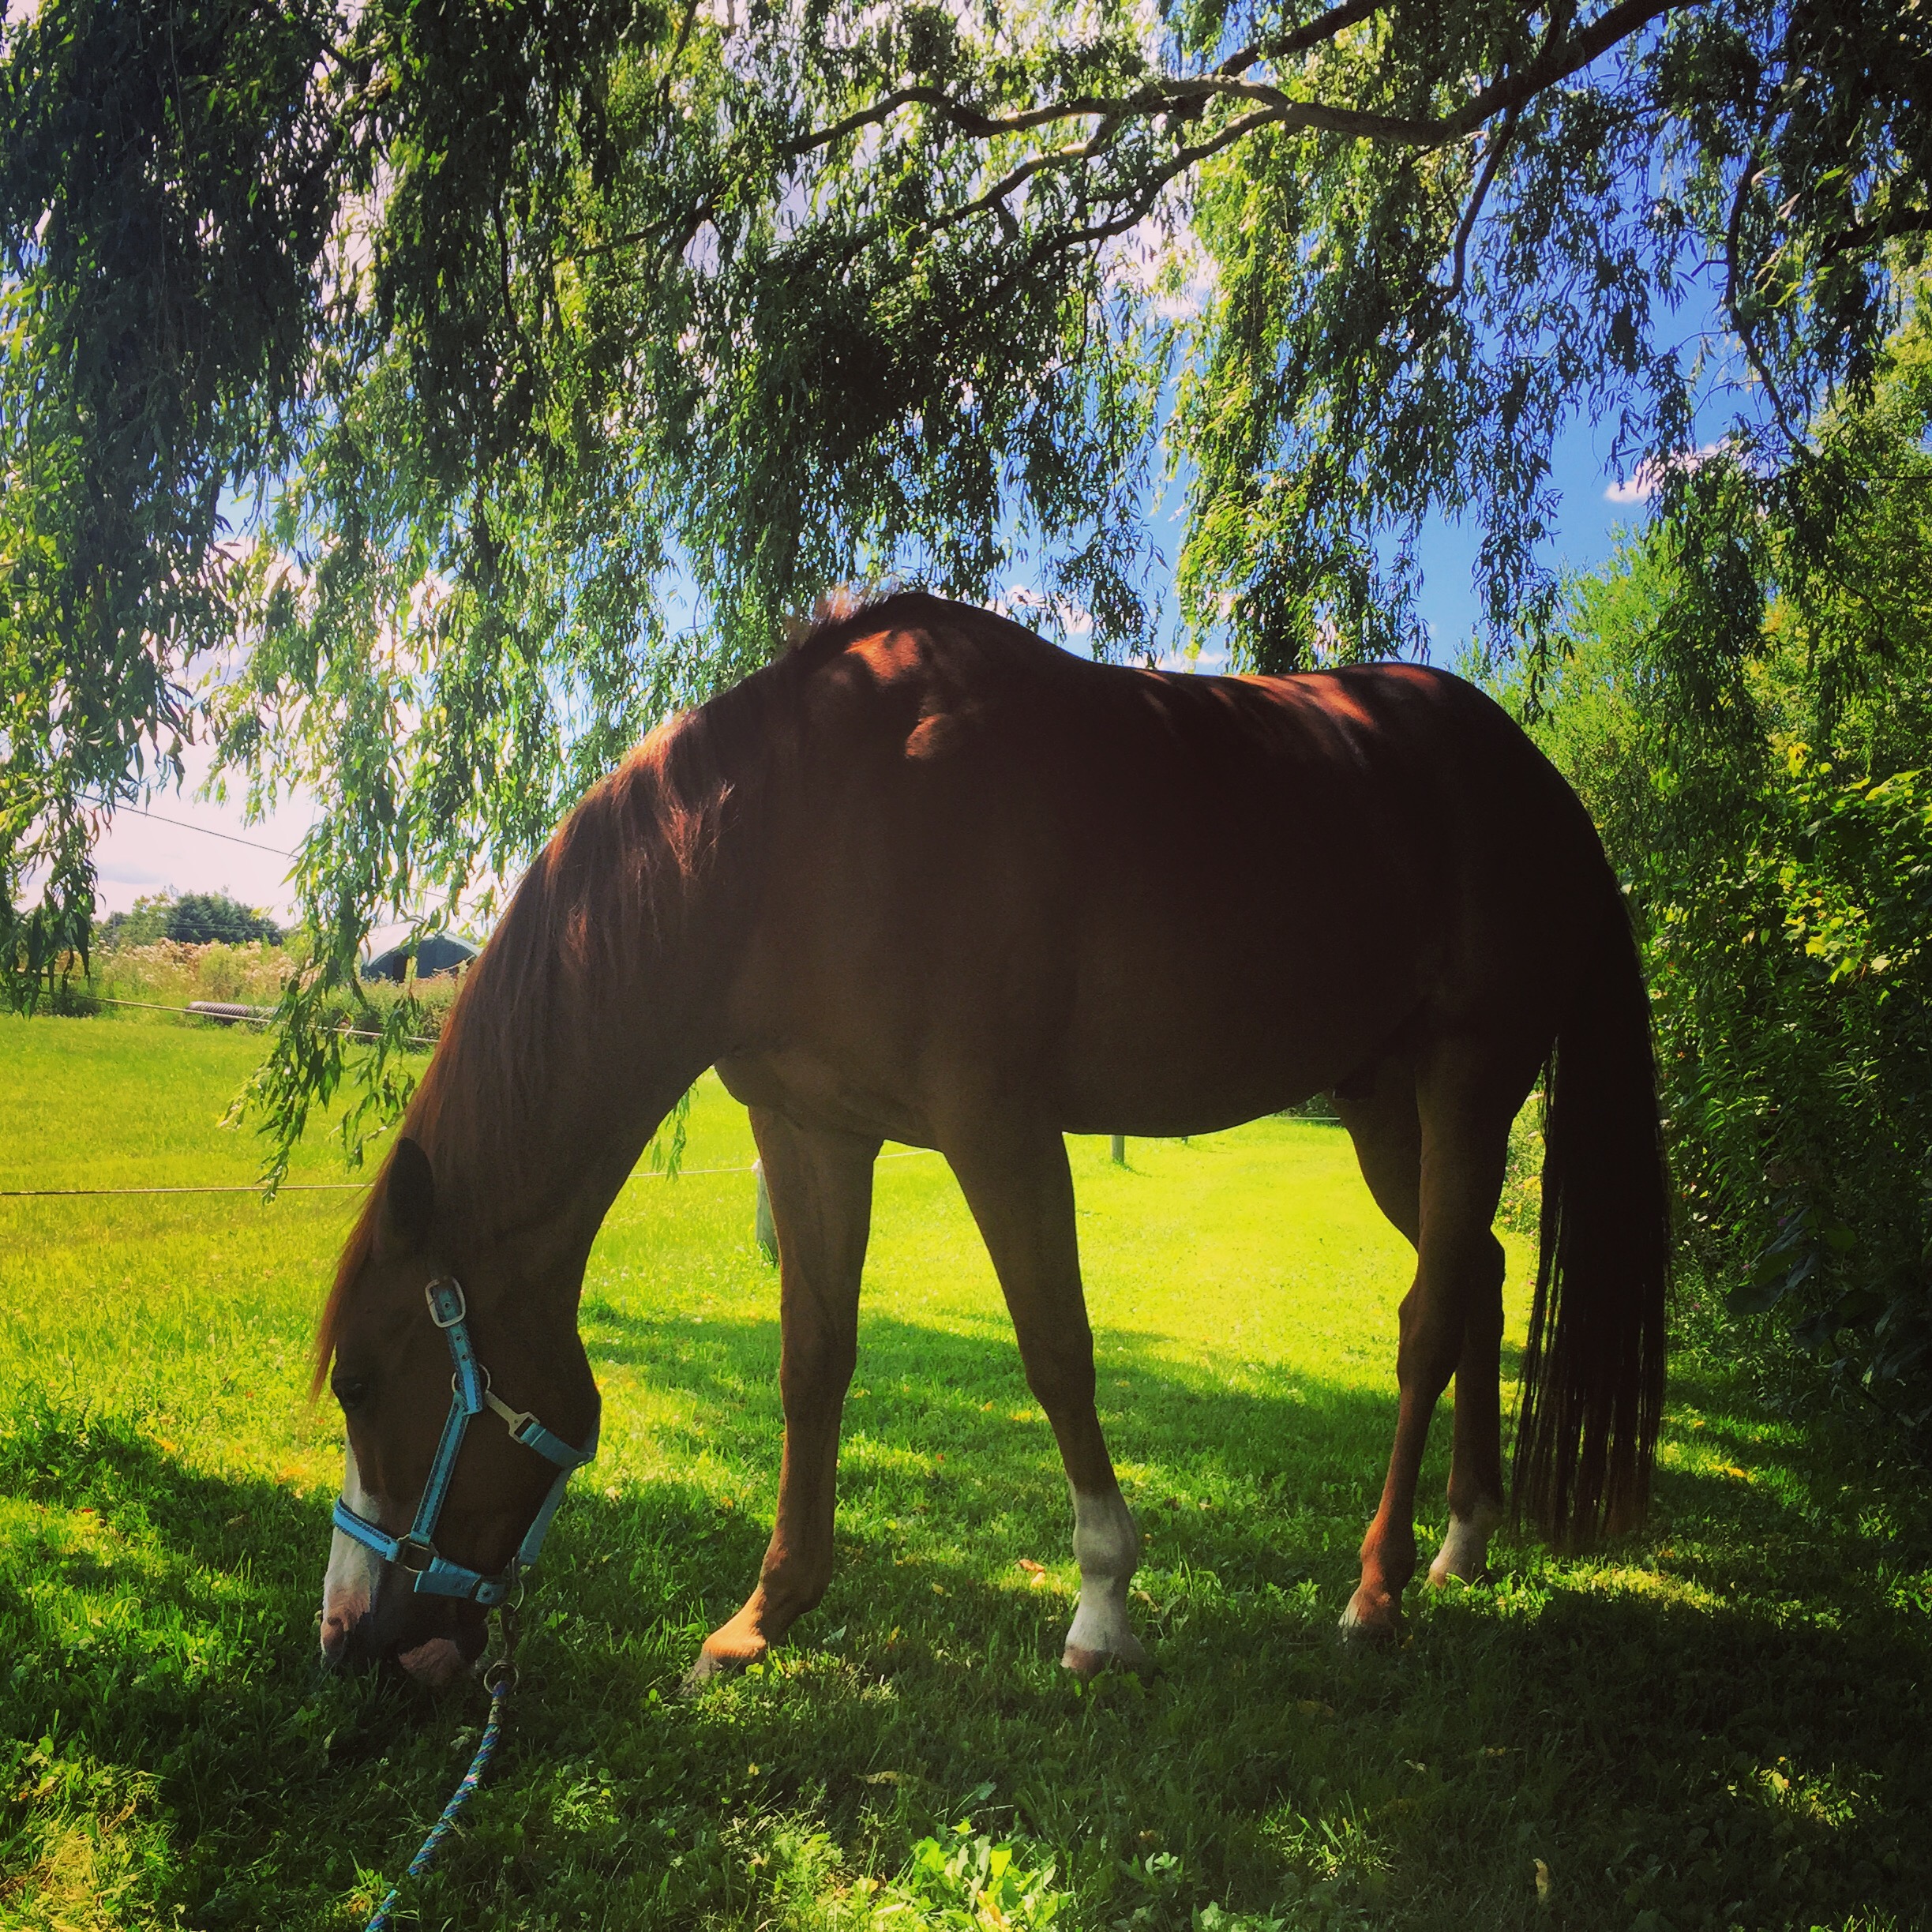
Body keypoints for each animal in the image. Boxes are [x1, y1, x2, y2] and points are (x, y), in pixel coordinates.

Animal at [315, 589, 1669, 1687]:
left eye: (361, 1379)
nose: (351, 1640)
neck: (802, 829)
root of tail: (1538, 780)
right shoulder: (809, 1128)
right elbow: (813, 1362)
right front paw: (765, 1613)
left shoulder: (996, 1125)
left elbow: (1056, 1350)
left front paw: (1102, 1608)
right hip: (1386, 1107)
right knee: (1476, 1273)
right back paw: (1461, 1538)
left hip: (1465, 1075)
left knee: (1429, 1313)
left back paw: (1373, 1590)